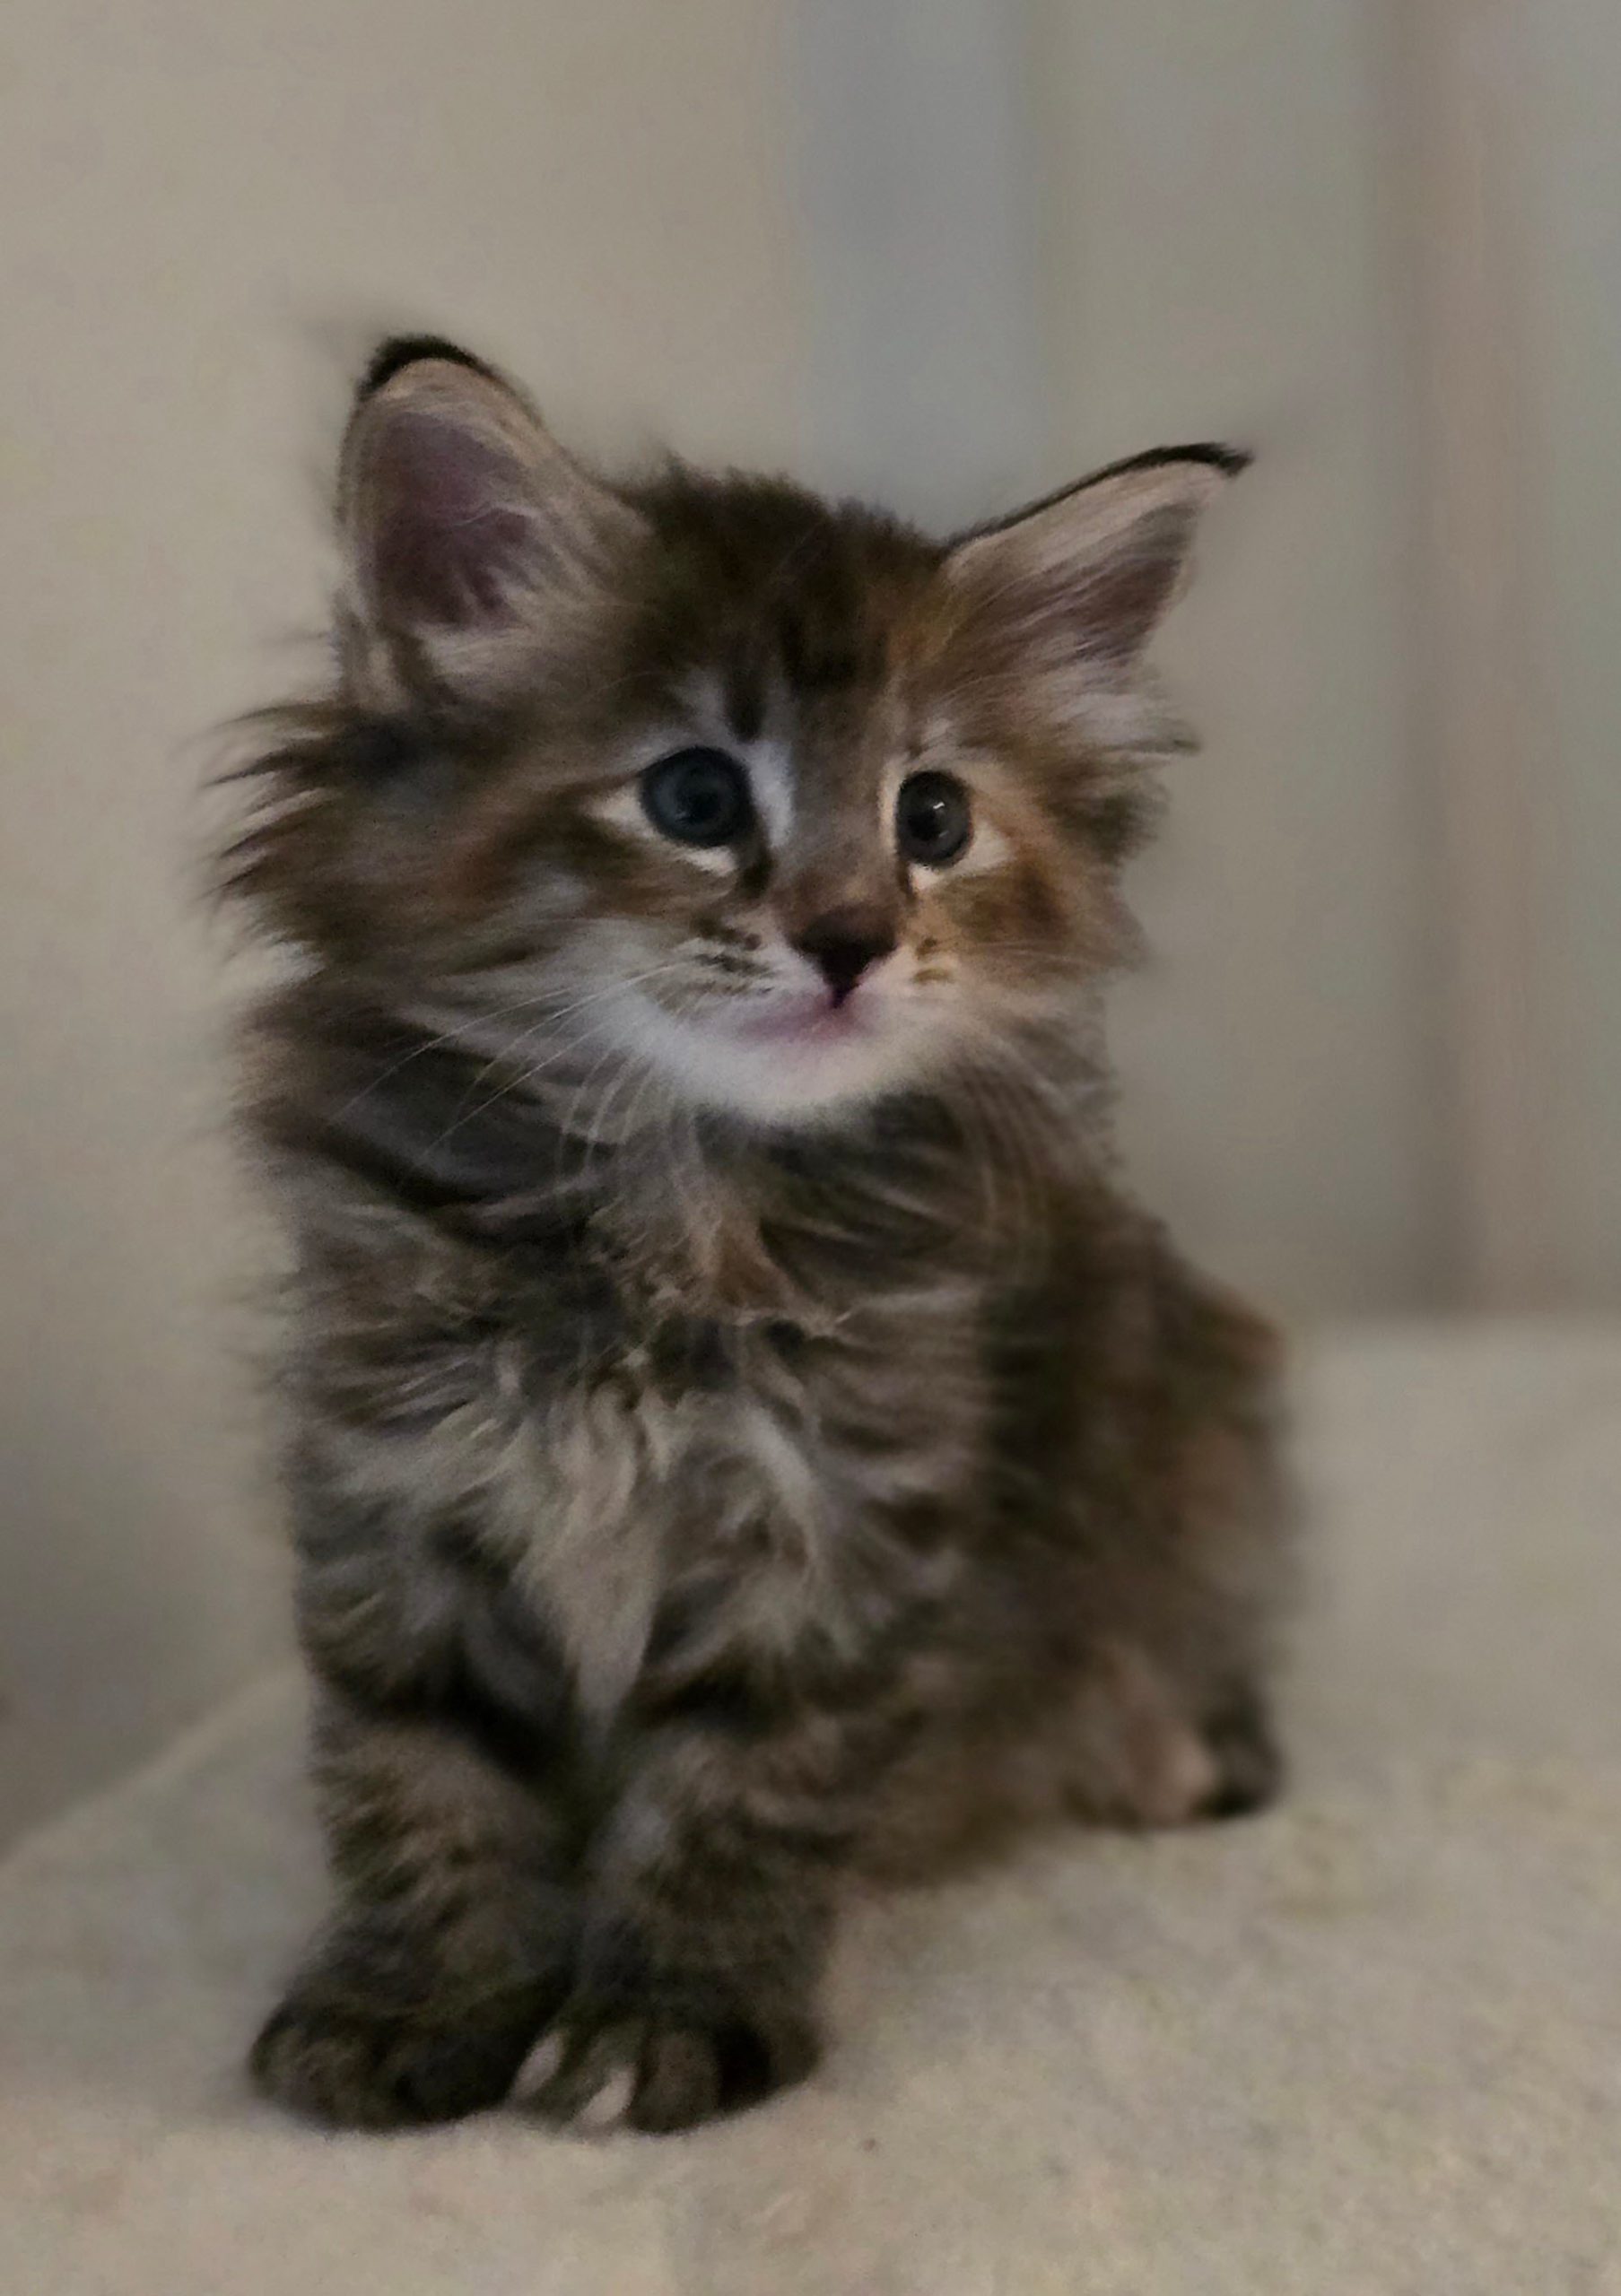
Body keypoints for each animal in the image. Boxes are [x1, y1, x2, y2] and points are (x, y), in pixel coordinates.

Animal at [224, 336, 1289, 2135]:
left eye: (931, 818)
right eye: (695, 794)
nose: (851, 940)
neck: (666, 1201)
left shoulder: (840, 1520)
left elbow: (741, 1790)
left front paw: (666, 2019)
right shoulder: (397, 1486)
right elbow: (414, 1770)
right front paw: (414, 1998)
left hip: (1198, 1416)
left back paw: (1153, 1748)